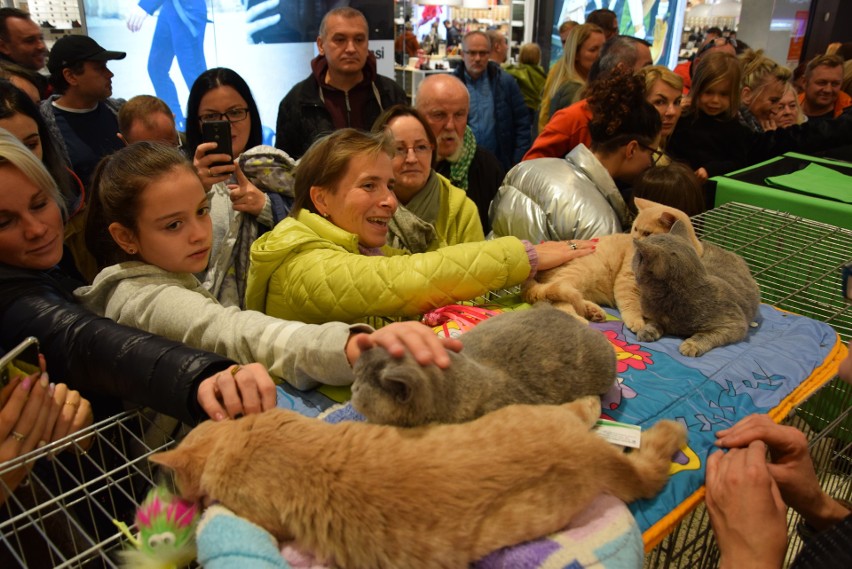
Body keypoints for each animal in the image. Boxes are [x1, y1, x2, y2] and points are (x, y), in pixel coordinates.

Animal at [524, 197, 704, 332]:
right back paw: (578, 320)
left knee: (572, 298)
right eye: (635, 229)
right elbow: (630, 302)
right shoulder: (627, 279)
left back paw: (593, 312)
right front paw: (636, 321)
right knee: (559, 301)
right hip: (581, 273)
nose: (634, 240)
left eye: (647, 233)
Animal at [632, 219, 760, 356]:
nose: (633, 256)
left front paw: (691, 345)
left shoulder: (734, 323)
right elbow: (653, 322)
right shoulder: (650, 314)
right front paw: (647, 331)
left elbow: (707, 335)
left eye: (637, 256)